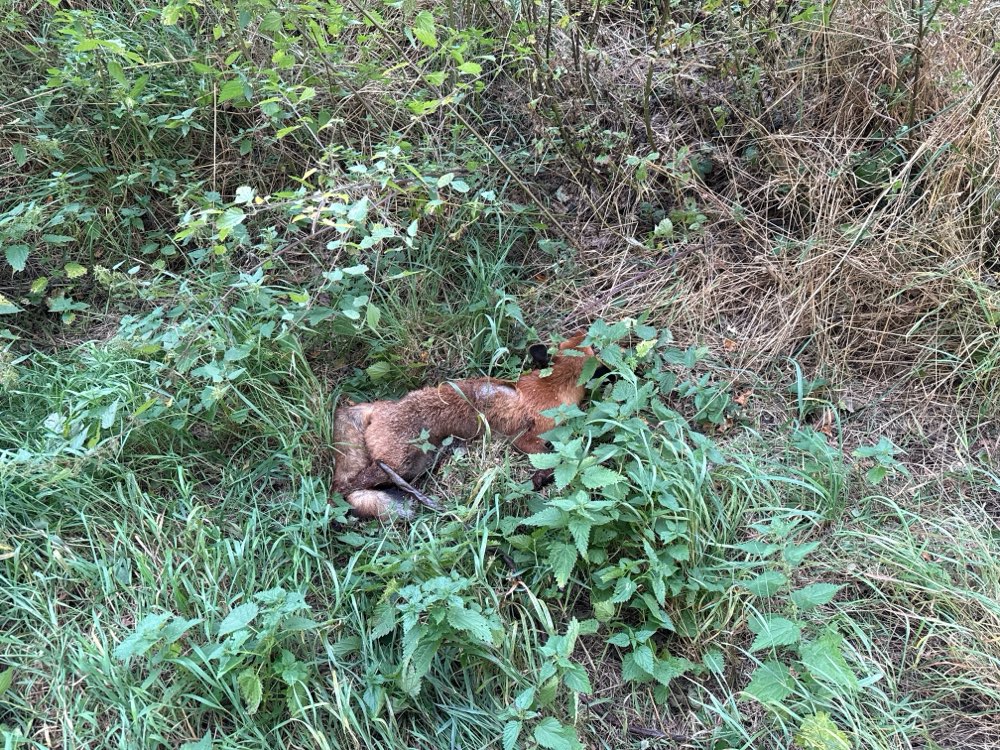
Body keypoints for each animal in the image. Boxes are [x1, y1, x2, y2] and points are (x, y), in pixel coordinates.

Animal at [331, 332, 607, 519]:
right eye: (592, 347)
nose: (584, 330)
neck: (550, 389)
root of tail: (381, 406)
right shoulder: (526, 437)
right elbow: (553, 459)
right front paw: (541, 480)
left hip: (419, 461)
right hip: (399, 462)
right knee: (345, 487)